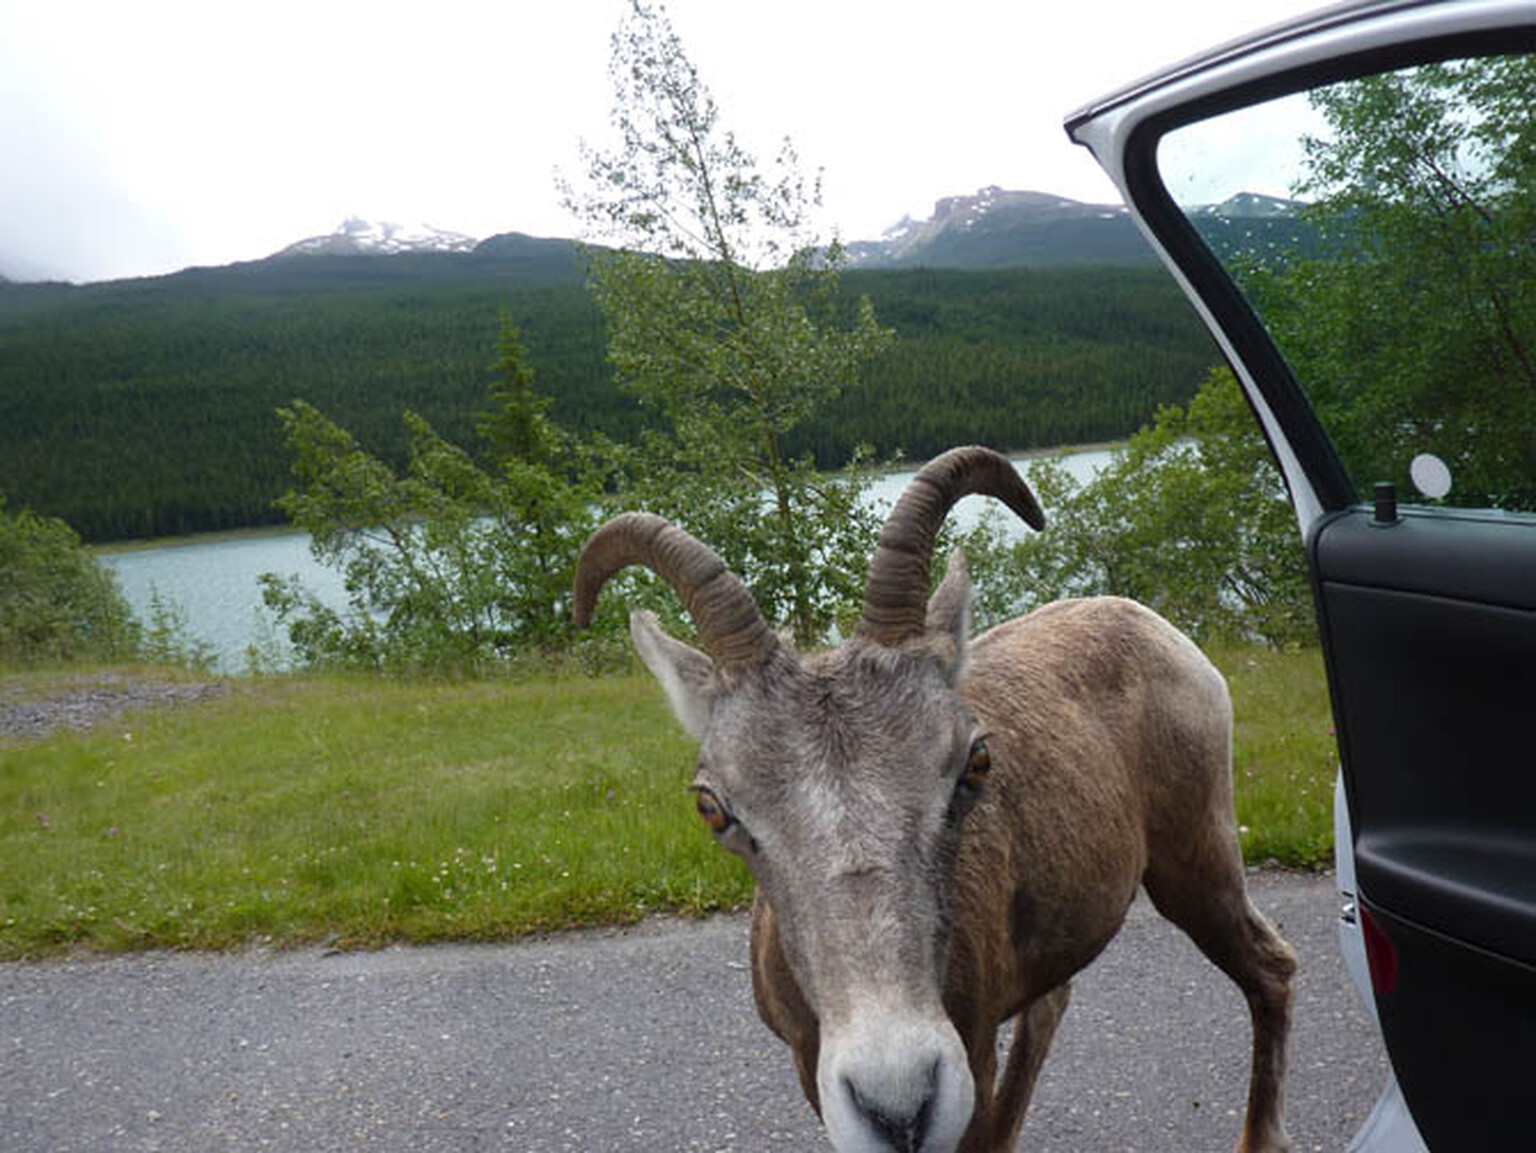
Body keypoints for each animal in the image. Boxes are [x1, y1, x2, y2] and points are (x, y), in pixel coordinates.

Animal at [573, 446, 1295, 1153]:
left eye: (975, 762)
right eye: (713, 806)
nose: (899, 1105)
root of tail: (1160, 632)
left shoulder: (971, 1053)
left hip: (1196, 867)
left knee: (1270, 968)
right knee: (1050, 1005)